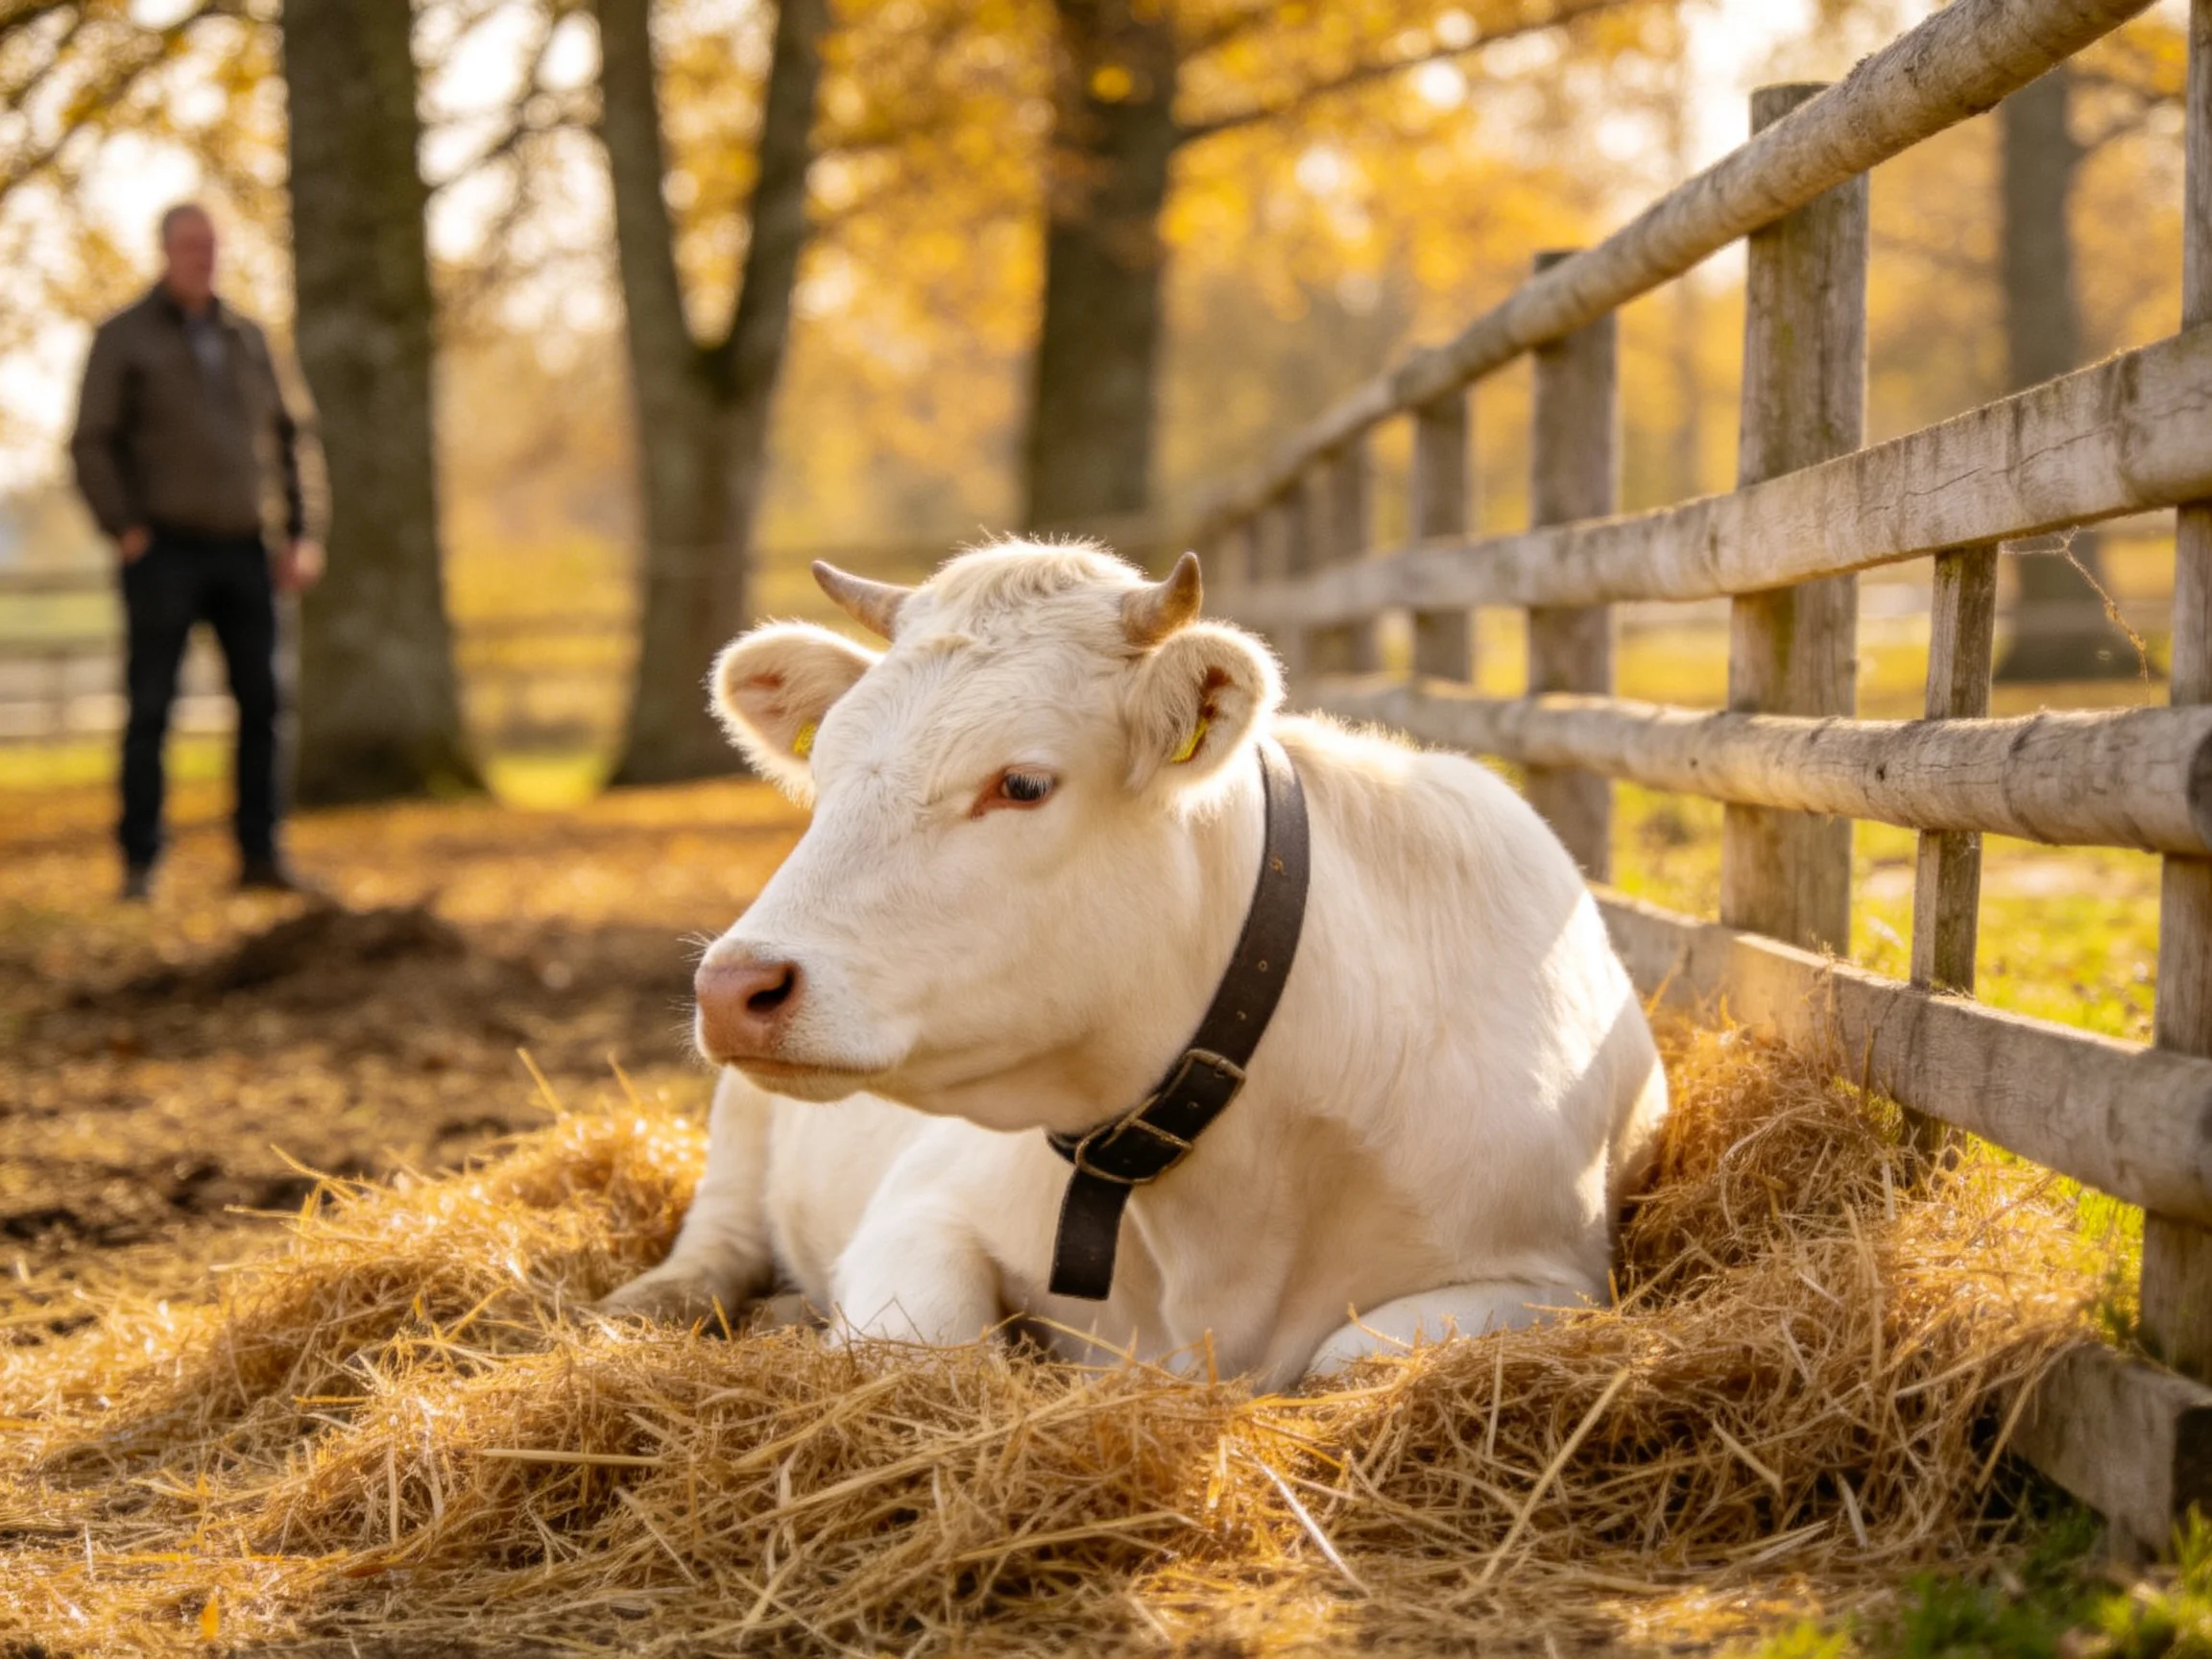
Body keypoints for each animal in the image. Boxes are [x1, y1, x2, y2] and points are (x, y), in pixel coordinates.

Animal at [597, 541, 1667, 1390]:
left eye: (1022, 784)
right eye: (821, 774)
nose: (732, 986)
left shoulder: (1550, 1276)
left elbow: (1345, 1354)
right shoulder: (922, 1205)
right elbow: (926, 1344)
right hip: (742, 1124)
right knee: (721, 1232)